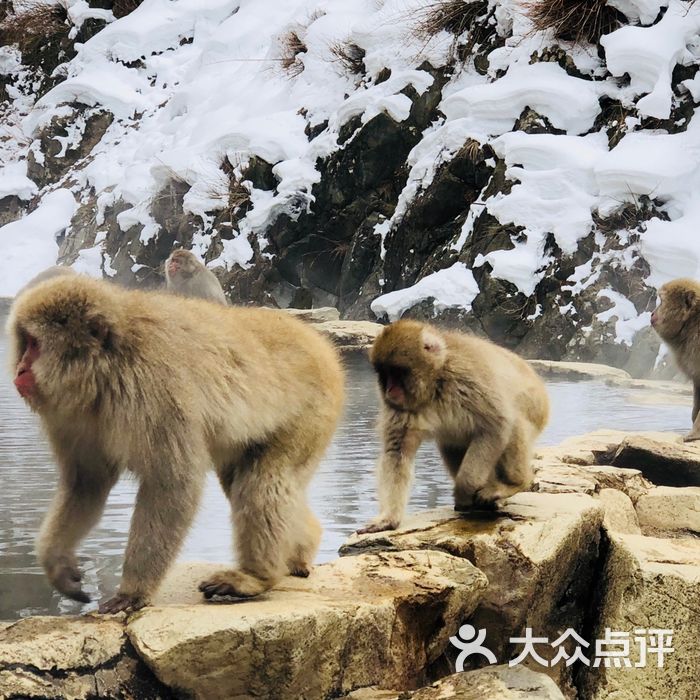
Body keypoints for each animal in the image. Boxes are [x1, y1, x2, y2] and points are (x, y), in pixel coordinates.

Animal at [8, 276, 344, 613]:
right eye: (25, 343)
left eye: (34, 345)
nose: (20, 370)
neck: (108, 368)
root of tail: (319, 344)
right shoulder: (70, 417)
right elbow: (87, 482)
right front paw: (57, 563)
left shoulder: (157, 390)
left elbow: (171, 483)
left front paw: (134, 591)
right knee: (244, 480)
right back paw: (302, 548)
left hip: (312, 412)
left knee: (263, 480)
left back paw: (255, 577)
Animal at [357, 320, 549, 534]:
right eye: (385, 373)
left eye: (397, 372)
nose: (390, 390)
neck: (435, 382)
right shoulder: (400, 407)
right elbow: (396, 453)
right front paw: (388, 518)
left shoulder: (467, 378)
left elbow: (496, 425)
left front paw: (464, 489)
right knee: (451, 443)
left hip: (535, 408)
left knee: (513, 423)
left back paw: (514, 484)